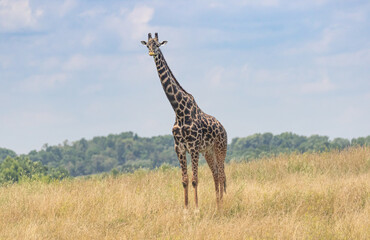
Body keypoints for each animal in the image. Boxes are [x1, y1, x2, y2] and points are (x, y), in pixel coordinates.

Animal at [142, 32, 227, 209]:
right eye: (147, 45)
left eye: (158, 45)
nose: (152, 53)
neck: (178, 111)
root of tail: (223, 128)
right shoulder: (179, 148)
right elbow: (184, 180)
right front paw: (186, 209)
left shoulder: (193, 147)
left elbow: (195, 180)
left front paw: (196, 209)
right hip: (208, 151)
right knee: (216, 174)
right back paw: (217, 204)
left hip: (220, 148)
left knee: (222, 175)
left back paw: (222, 205)